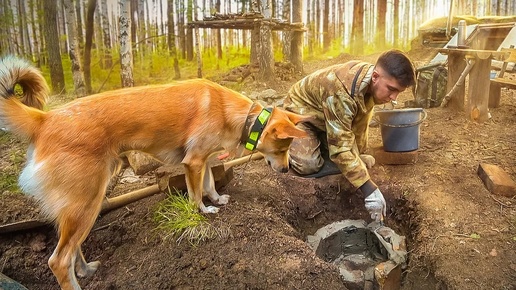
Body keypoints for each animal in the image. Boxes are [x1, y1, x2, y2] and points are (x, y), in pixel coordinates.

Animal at [0, 56, 310, 290]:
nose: (286, 169)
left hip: (84, 204)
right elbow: (195, 194)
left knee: (72, 247)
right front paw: (202, 212)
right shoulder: (193, 162)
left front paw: (217, 198)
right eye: (283, 146)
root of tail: (44, 119)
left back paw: (86, 270)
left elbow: (209, 183)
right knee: (59, 260)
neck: (240, 114)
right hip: (86, 202)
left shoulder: (204, 159)